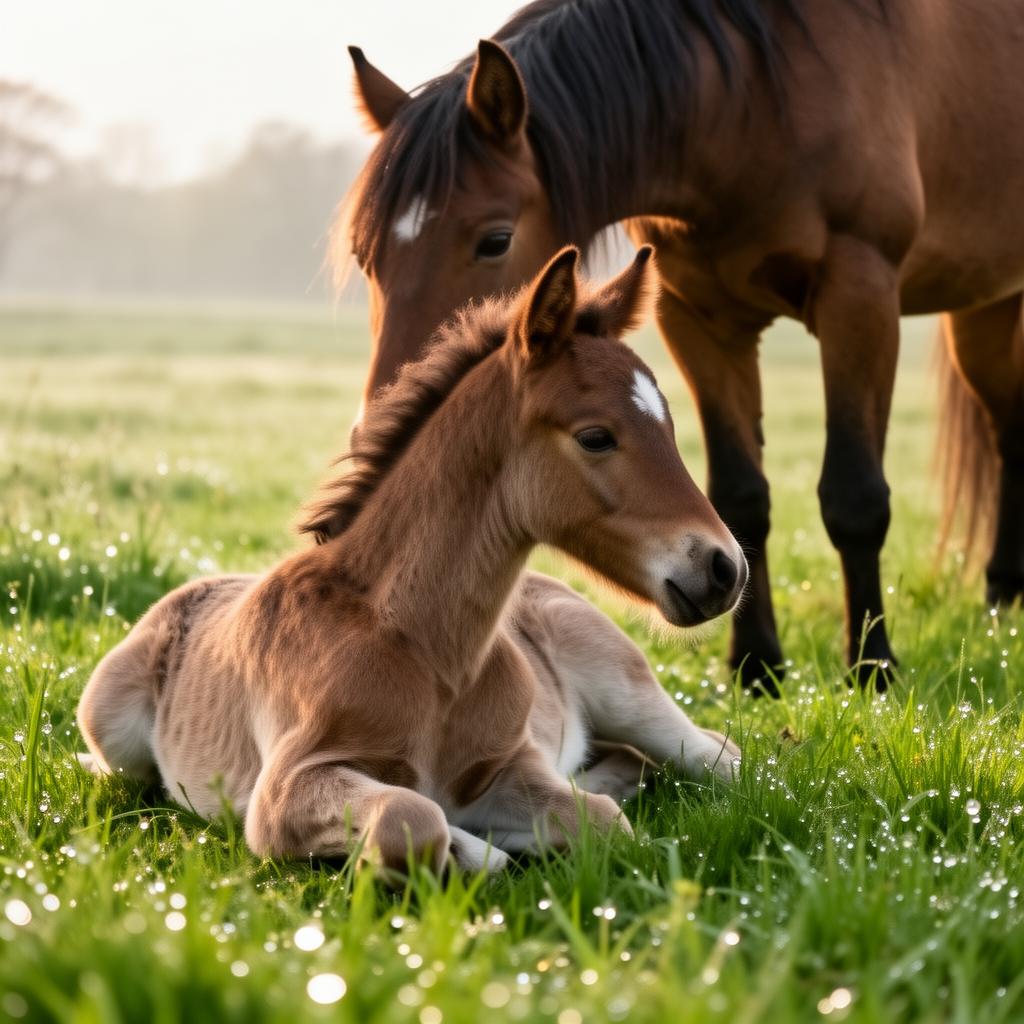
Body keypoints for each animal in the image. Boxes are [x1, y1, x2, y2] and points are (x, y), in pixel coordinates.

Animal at [76, 247, 746, 876]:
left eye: (670, 425)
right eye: (596, 436)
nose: (725, 568)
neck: (426, 651)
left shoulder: (511, 763)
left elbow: (603, 822)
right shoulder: (286, 789)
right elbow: (413, 815)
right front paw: (477, 849)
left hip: (626, 689)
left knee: (715, 758)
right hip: (109, 733)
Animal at [342, 0, 1024, 696]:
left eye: (495, 239)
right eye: (365, 257)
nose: (388, 439)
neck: (752, 101)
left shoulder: (860, 291)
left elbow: (855, 496)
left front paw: (873, 669)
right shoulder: (698, 318)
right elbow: (742, 496)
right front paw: (756, 667)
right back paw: (1001, 601)